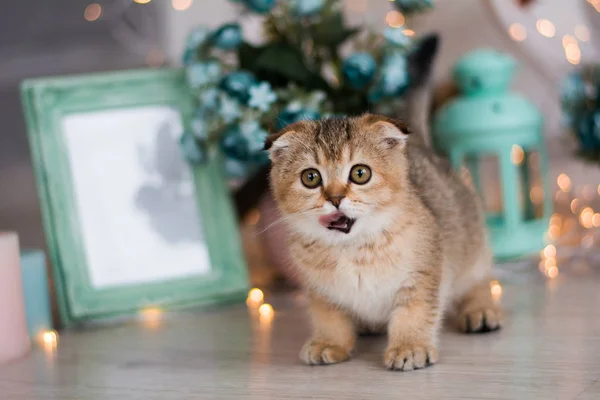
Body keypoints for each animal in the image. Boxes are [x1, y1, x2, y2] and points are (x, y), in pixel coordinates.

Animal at [264, 114, 504, 370]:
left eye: (360, 173)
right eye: (310, 177)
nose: (335, 199)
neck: (351, 249)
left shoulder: (420, 276)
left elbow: (413, 313)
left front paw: (409, 346)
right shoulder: (320, 290)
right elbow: (328, 318)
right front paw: (330, 343)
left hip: (470, 243)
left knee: (478, 279)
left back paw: (480, 311)